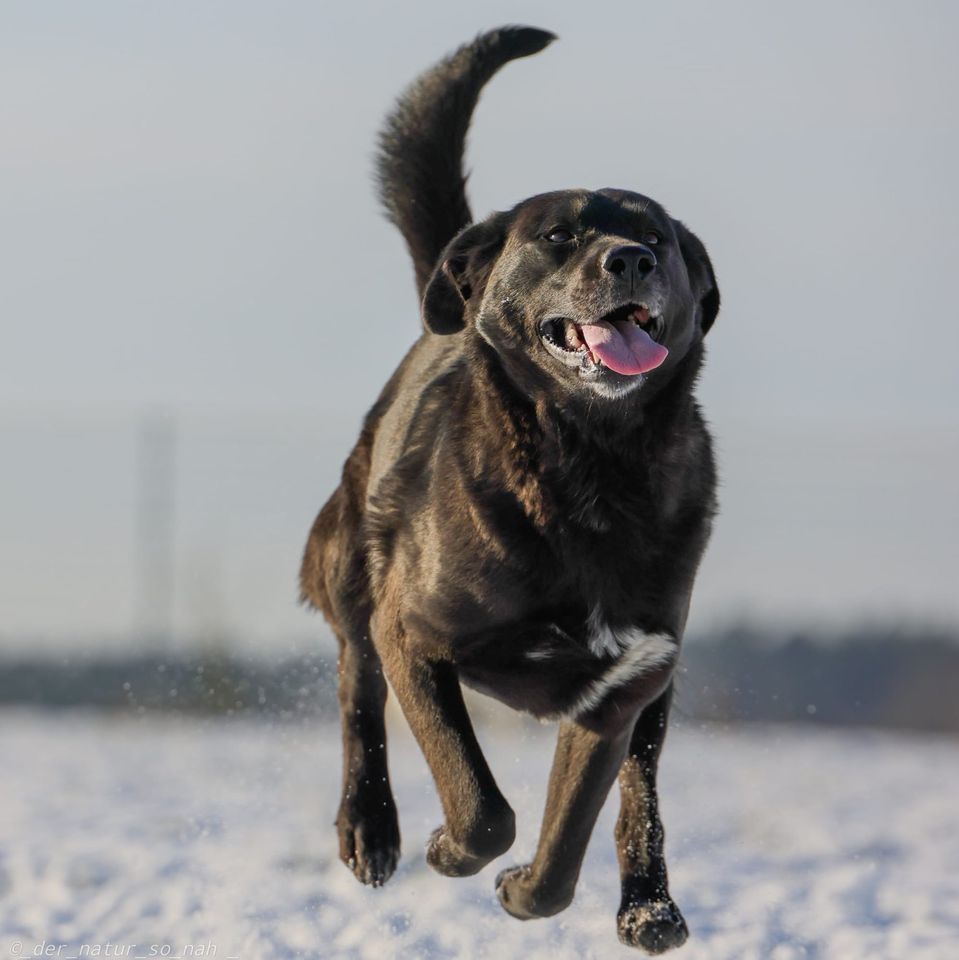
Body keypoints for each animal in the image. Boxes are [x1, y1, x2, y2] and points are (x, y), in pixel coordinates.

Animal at [302, 26, 720, 956]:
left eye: (655, 237)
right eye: (559, 236)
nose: (628, 259)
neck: (590, 465)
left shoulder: (618, 689)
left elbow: (568, 842)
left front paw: (524, 890)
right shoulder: (412, 636)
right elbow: (482, 804)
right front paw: (448, 850)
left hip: (659, 689)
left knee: (641, 797)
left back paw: (650, 907)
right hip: (348, 565)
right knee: (355, 689)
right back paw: (370, 828)